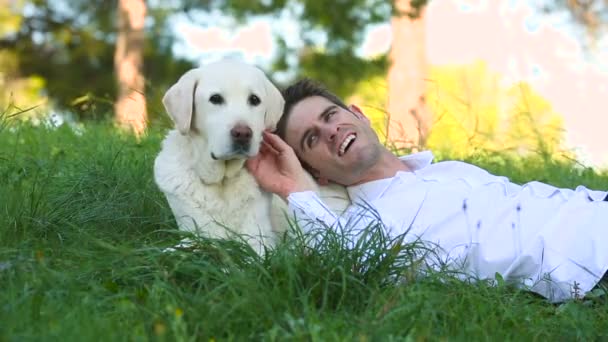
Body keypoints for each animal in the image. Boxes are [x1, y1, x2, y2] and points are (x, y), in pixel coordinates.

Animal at [152, 60, 284, 255]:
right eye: (215, 99)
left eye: (254, 100)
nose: (243, 134)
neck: (222, 180)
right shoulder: (194, 233)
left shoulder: (259, 239)